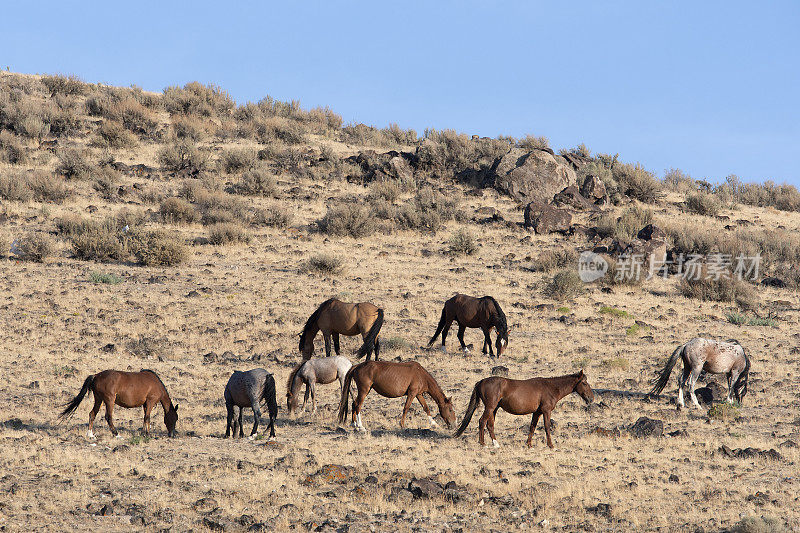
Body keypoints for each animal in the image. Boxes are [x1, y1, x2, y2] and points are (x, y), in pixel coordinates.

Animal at [454, 370, 592, 448]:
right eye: (584, 383)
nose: (591, 398)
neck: (551, 387)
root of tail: (481, 381)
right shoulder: (546, 411)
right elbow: (547, 427)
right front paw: (551, 445)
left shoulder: (537, 413)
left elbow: (532, 427)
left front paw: (529, 445)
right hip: (490, 407)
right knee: (482, 422)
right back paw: (483, 444)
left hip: (494, 409)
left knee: (490, 425)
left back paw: (496, 444)